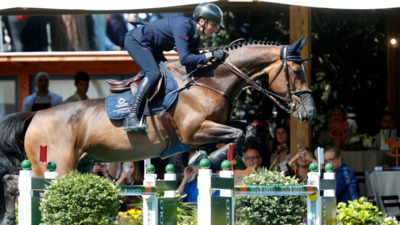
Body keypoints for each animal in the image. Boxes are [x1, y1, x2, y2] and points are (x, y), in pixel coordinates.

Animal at [0, 37, 316, 219]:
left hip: (79, 165)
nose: (310, 112)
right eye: (296, 71)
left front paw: (208, 159)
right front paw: (206, 159)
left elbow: (247, 129)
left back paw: (8, 217)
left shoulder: (217, 124)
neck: (211, 81)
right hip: (55, 167)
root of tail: (35, 115)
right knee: (27, 186)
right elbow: (237, 134)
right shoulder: (194, 131)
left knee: (13, 183)